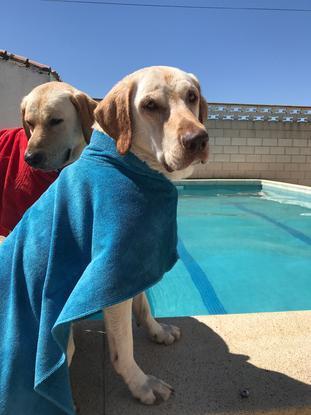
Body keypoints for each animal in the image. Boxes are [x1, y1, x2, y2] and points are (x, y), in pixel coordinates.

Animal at [68, 67, 208, 406]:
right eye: (150, 105)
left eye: (192, 96)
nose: (198, 138)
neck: (132, 164)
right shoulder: (112, 275)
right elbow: (123, 348)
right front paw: (141, 384)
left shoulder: (134, 259)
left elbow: (143, 304)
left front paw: (156, 332)